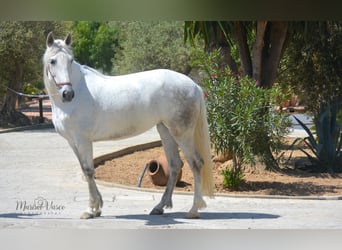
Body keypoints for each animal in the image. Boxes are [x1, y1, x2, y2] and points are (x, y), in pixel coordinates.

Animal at [43, 32, 214, 220]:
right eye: (53, 61)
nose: (68, 93)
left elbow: (88, 171)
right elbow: (85, 170)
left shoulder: (82, 140)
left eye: (71, 60)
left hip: (182, 133)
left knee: (196, 163)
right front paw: (97, 207)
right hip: (165, 130)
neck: (78, 92)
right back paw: (159, 207)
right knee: (175, 165)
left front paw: (91, 209)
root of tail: (194, 85)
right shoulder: (72, 141)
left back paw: (194, 210)